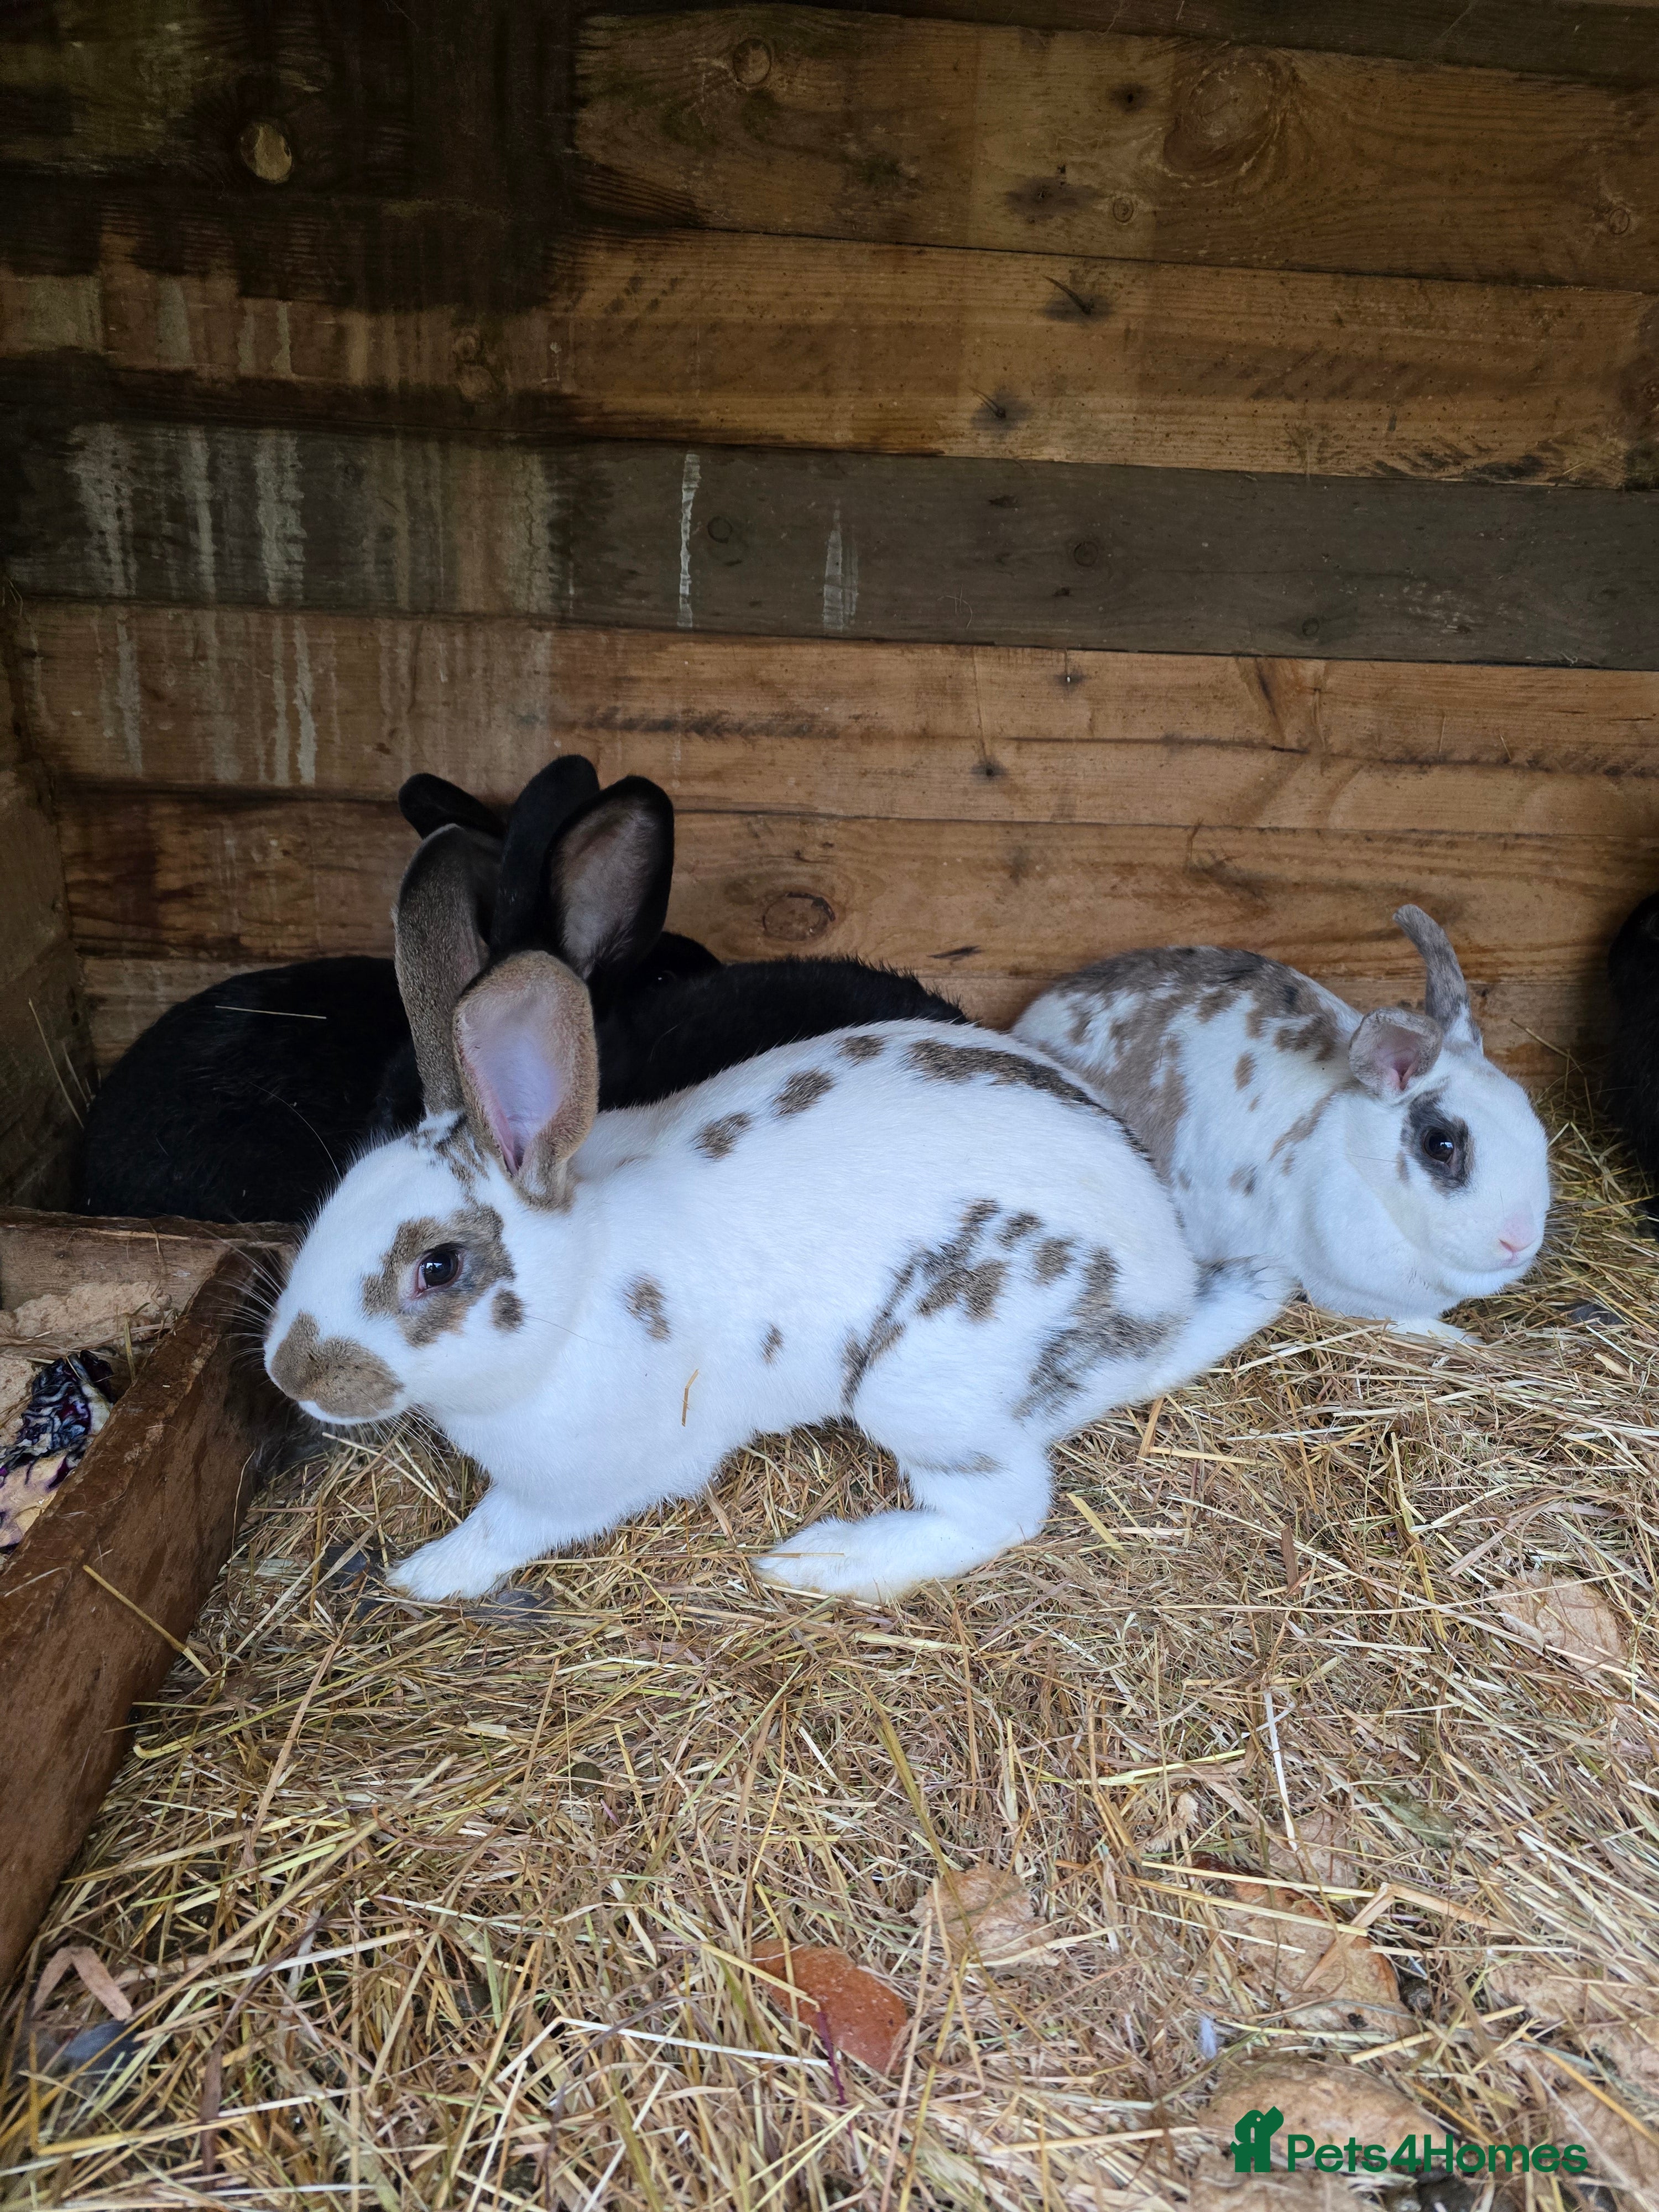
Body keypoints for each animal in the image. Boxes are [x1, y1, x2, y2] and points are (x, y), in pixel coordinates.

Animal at [260, 825, 1293, 1603]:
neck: (577, 1286)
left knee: (1003, 1511)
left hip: (928, 1386)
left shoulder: (577, 1482)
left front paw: (424, 1575)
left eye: (437, 1267)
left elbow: (502, 1530)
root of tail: (1165, 1301)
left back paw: (825, 1560)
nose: (290, 1373)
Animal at [1013, 906, 1551, 1339]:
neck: (1355, 1155)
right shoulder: (1348, 1296)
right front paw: (1468, 1344)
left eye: (1533, 1121)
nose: (1519, 1240)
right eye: (1440, 1144)